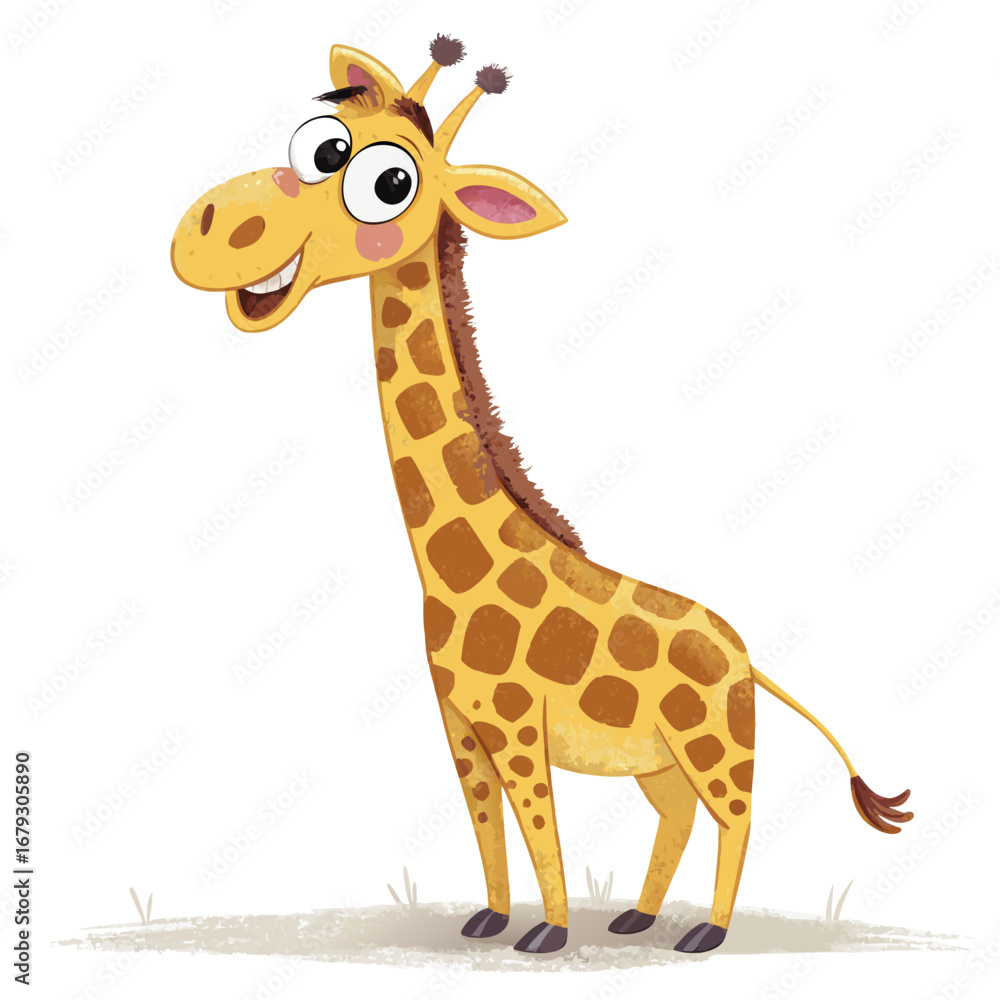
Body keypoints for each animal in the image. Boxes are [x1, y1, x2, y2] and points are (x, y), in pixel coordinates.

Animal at [171, 35, 914, 955]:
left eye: (388, 182)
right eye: (317, 143)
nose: (200, 233)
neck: (447, 570)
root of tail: (747, 659)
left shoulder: (519, 721)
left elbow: (538, 825)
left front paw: (549, 933)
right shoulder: (459, 726)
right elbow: (488, 827)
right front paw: (490, 919)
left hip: (714, 741)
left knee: (737, 817)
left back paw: (705, 933)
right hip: (660, 756)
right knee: (678, 815)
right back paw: (637, 916)